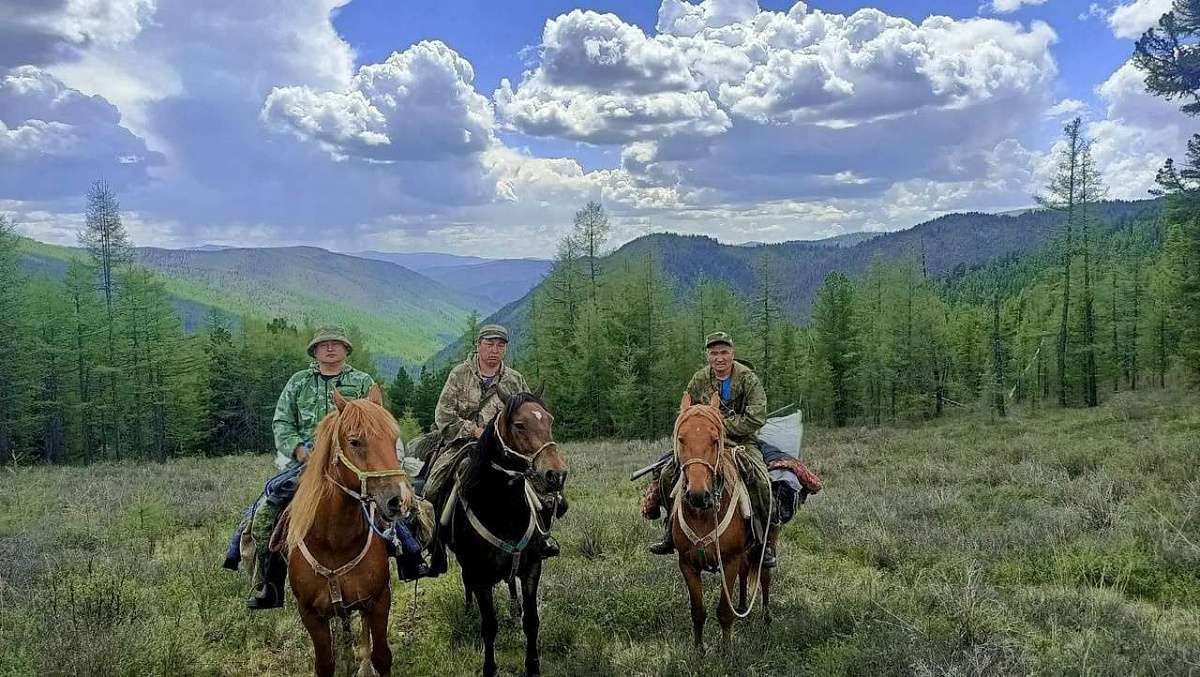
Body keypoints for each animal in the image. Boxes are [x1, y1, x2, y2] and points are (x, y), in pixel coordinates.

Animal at [284, 386, 412, 677]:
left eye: (393, 439)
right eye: (354, 441)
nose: (399, 500)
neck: (334, 542)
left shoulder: (379, 600)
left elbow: (381, 656)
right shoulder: (310, 615)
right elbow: (325, 664)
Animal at [444, 391, 568, 677]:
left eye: (550, 420)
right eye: (519, 425)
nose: (557, 474)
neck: (504, 512)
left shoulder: (532, 567)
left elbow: (531, 620)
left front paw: (532, 666)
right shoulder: (480, 576)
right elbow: (489, 626)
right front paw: (489, 668)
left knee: (510, 583)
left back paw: (513, 606)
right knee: (466, 581)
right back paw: (468, 609)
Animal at [672, 393, 772, 648]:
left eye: (715, 440)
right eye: (681, 439)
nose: (698, 495)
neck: (703, 515)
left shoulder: (729, 561)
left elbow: (724, 613)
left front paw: (727, 651)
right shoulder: (686, 564)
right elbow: (698, 612)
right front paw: (699, 651)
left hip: (766, 543)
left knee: (765, 577)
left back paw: (766, 618)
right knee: (746, 573)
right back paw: (744, 608)